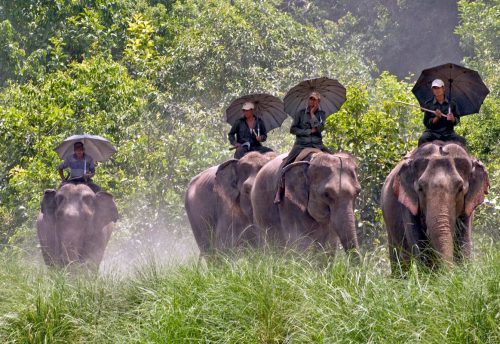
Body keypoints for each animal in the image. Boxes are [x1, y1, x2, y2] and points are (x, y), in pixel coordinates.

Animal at [380, 141, 490, 272]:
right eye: (420, 189)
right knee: (399, 258)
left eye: (460, 189)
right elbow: (420, 246)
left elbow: (464, 243)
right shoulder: (407, 206)